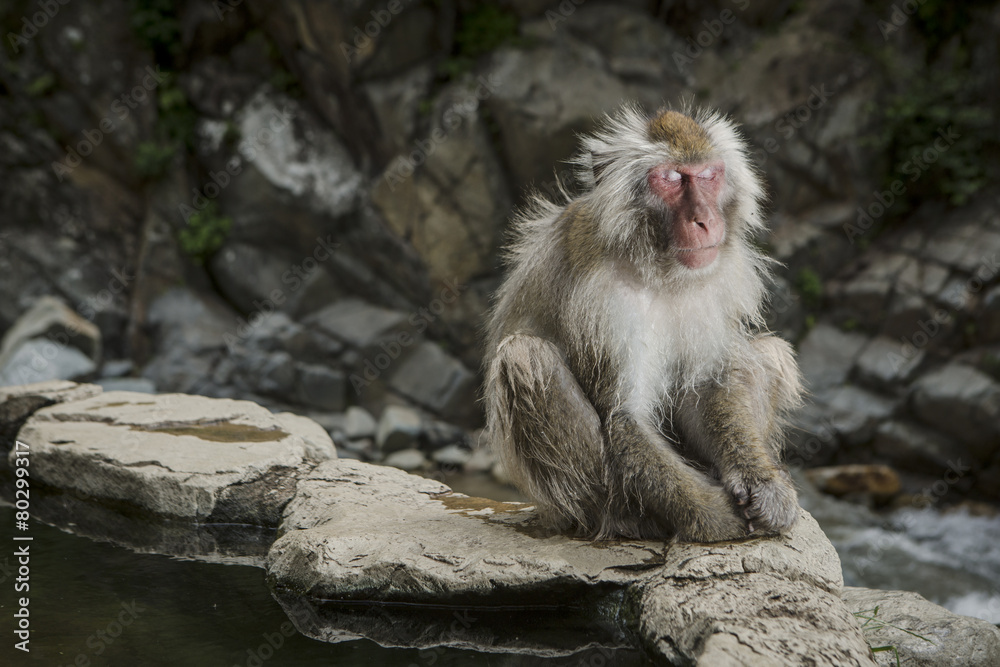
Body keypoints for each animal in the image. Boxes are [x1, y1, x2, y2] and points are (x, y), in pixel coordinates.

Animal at [483, 105, 803, 542]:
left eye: (708, 175)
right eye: (670, 178)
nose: (704, 220)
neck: (657, 266)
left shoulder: (714, 282)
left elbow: (706, 387)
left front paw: (764, 485)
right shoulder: (603, 303)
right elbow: (625, 417)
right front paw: (716, 516)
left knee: (768, 352)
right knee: (526, 356)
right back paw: (624, 518)